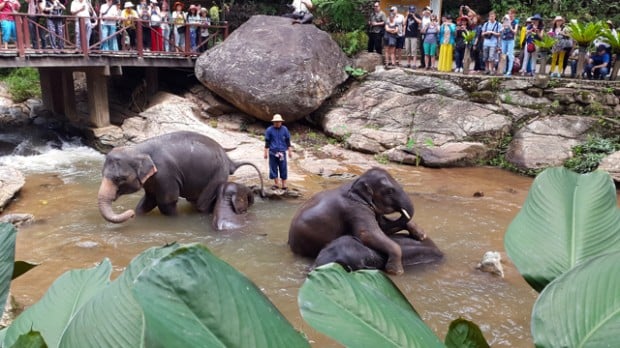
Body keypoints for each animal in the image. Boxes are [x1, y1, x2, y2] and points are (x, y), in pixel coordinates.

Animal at [97, 130, 264, 223]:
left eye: (119, 179)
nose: (130, 214)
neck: (138, 148)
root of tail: (229, 160)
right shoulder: (153, 179)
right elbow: (149, 200)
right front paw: (138, 214)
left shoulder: (166, 174)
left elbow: (166, 202)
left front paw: (178, 220)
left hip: (218, 173)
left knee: (202, 204)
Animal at [286, 167, 428, 276]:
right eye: (389, 191)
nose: (422, 236)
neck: (357, 181)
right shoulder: (355, 209)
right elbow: (368, 234)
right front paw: (396, 272)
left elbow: (383, 227)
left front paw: (421, 235)